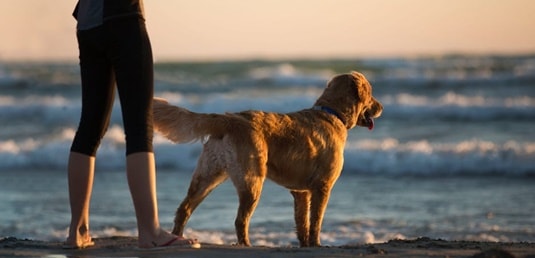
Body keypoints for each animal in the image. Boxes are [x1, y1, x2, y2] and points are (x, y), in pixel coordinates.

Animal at [153, 71, 384, 247]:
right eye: (371, 93)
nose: (381, 107)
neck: (332, 113)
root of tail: (229, 119)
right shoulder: (322, 186)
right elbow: (316, 221)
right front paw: (317, 244)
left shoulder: (301, 192)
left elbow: (302, 222)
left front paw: (304, 245)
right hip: (252, 181)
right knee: (240, 220)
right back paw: (245, 244)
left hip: (207, 176)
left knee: (184, 209)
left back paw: (178, 238)